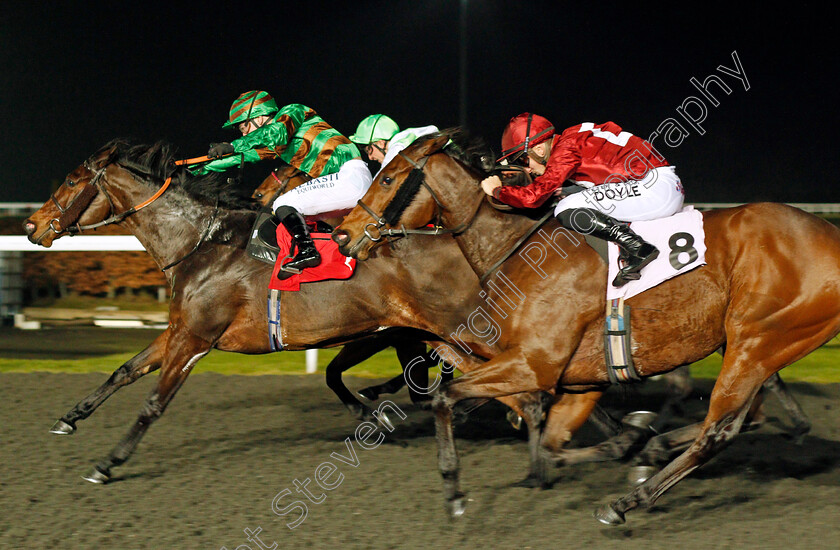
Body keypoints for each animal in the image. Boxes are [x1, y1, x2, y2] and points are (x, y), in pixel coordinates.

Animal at [334, 130, 840, 528]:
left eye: (388, 178)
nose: (342, 234)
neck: (517, 245)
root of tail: (829, 236)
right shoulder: (573, 379)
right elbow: (549, 440)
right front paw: (624, 440)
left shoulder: (534, 363)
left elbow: (447, 398)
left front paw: (455, 493)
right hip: (751, 346)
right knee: (745, 418)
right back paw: (651, 454)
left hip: (758, 341)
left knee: (720, 431)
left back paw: (626, 501)